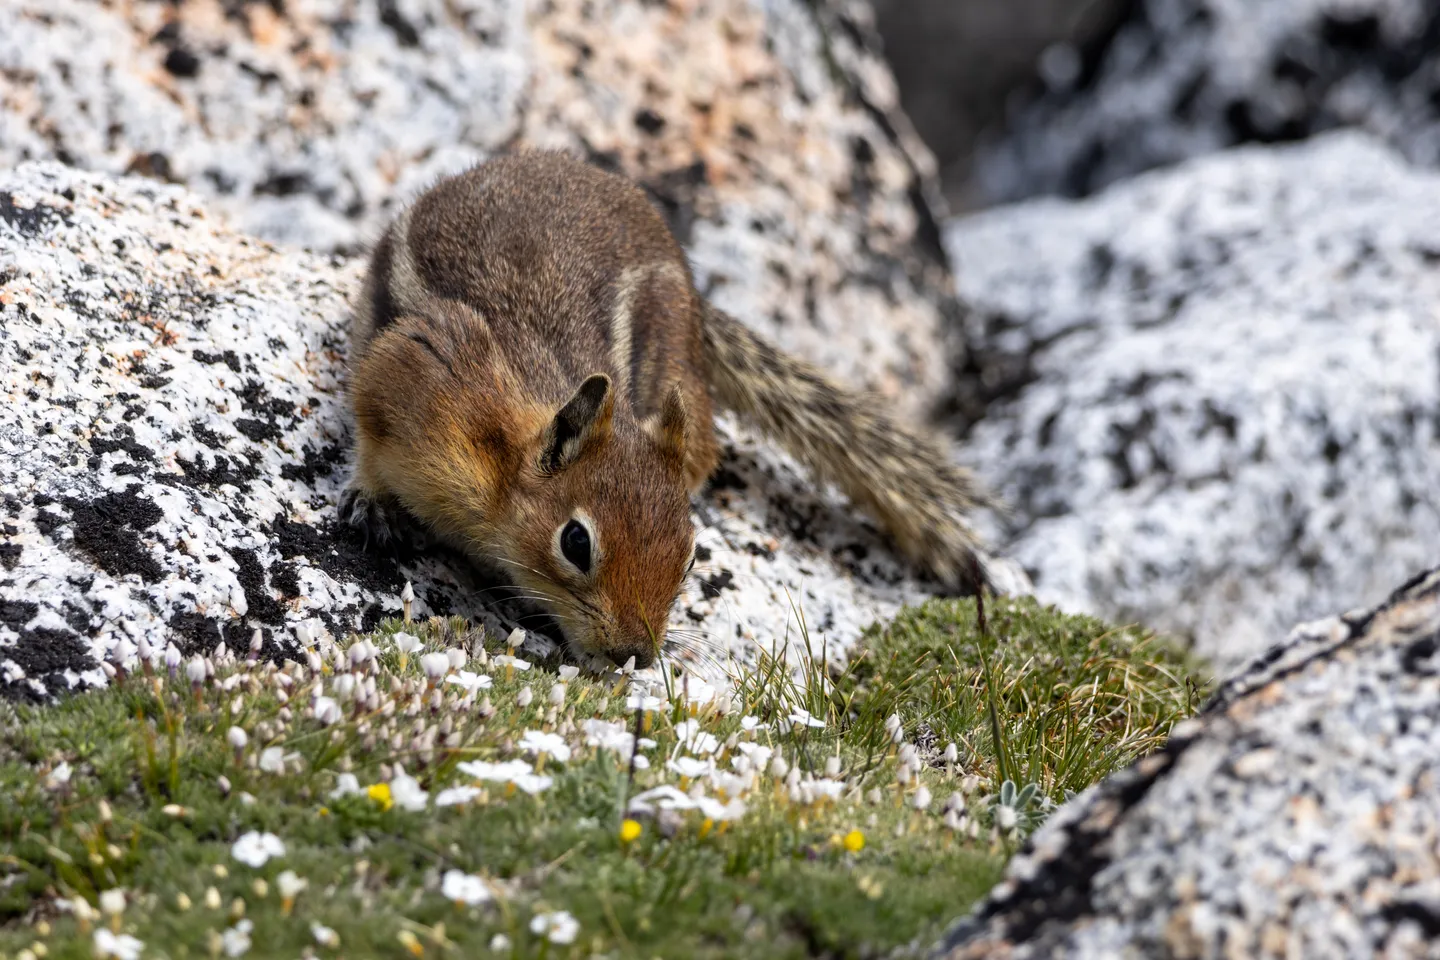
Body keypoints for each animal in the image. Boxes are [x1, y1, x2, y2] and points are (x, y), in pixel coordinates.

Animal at [344, 151, 986, 669]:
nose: (636, 653)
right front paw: (371, 501)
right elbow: (371, 431)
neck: (502, 487)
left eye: (691, 556)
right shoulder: (422, 372)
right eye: (575, 543)